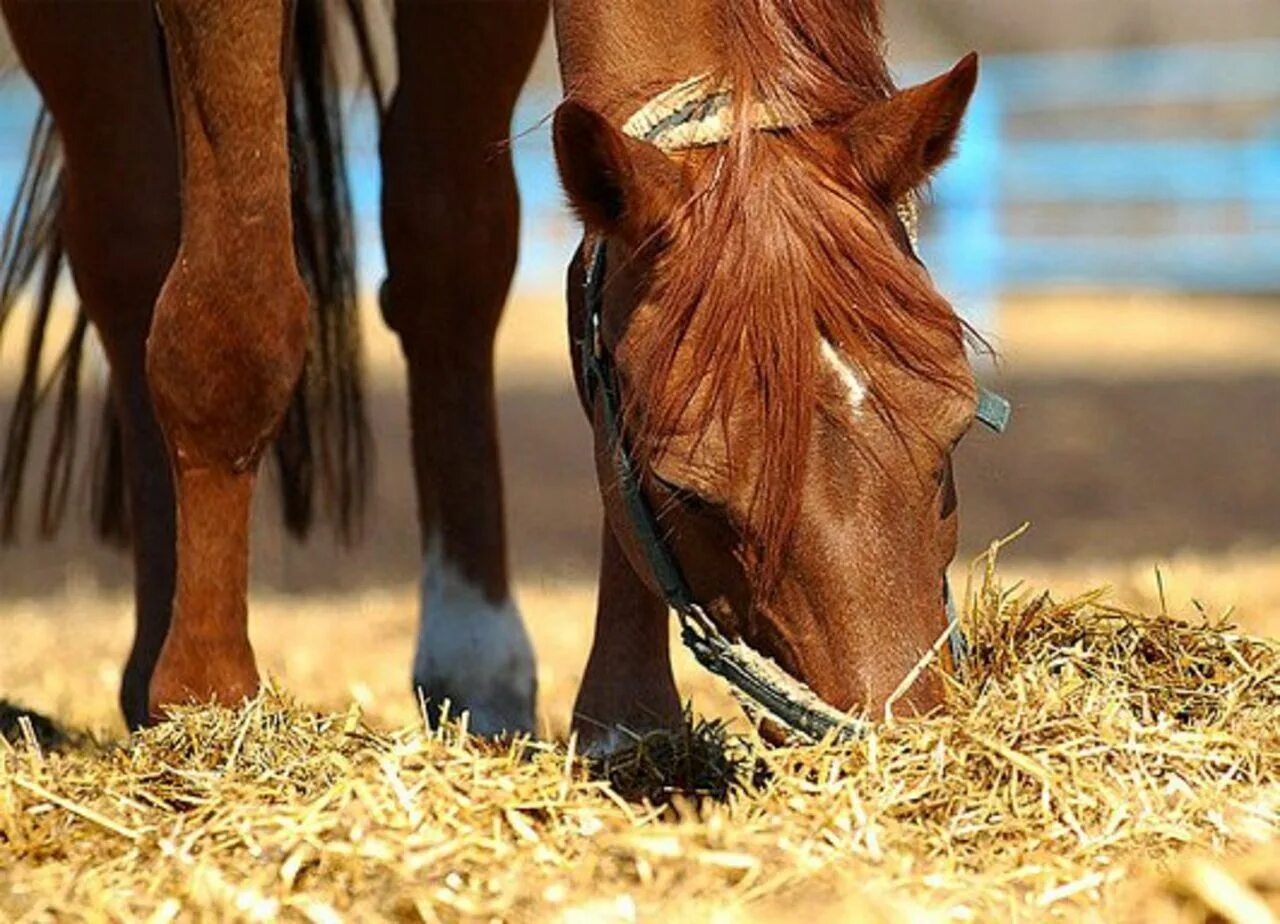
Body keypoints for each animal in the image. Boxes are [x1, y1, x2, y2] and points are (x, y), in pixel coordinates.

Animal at [0, 1, 988, 747]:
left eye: (955, 435)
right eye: (686, 491)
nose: (901, 736)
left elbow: (486, 260)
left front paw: (625, 718)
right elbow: (233, 319)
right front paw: (210, 699)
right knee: (128, 237)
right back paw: (156, 669)